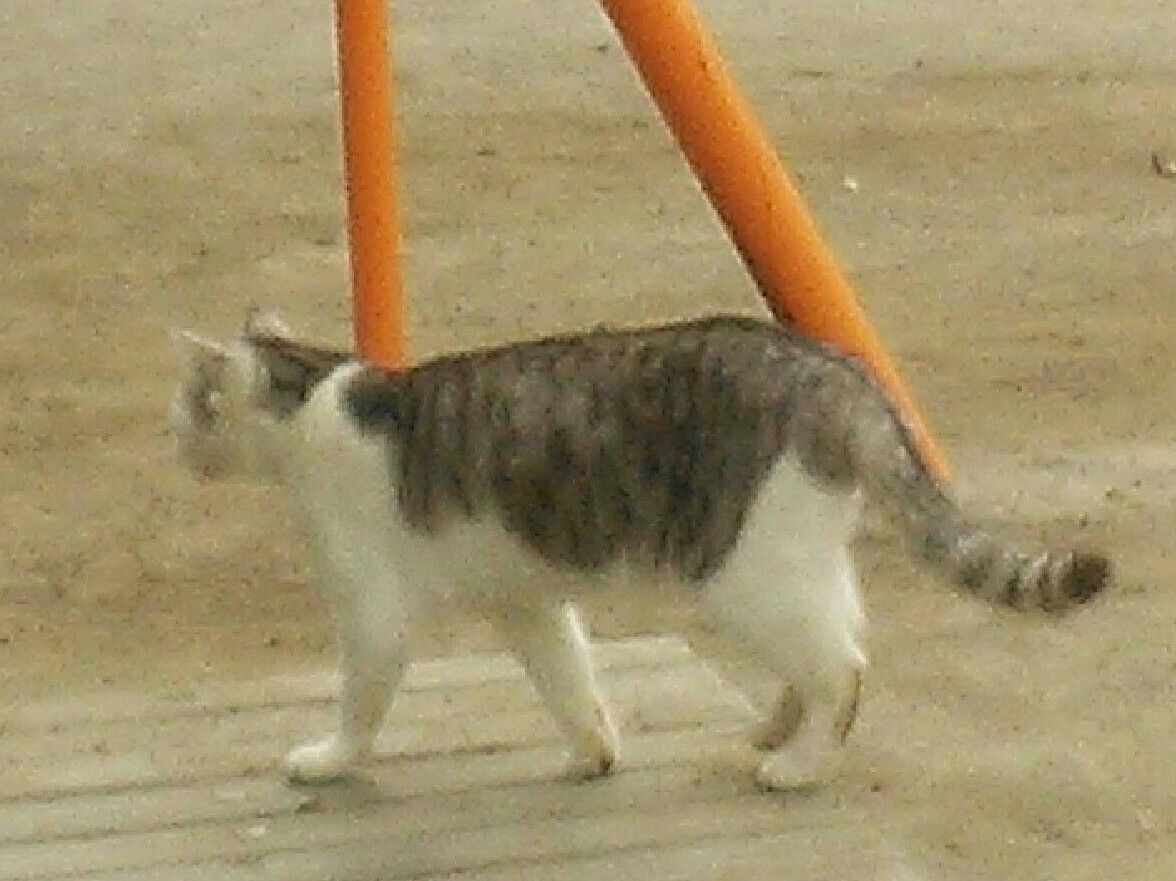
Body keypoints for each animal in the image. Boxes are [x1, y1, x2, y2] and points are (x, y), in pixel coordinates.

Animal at [170, 307, 1109, 791]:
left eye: (188, 403)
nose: (168, 435)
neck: (312, 400)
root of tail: (838, 370)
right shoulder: (530, 603)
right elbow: (570, 683)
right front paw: (593, 753)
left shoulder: (373, 616)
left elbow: (359, 706)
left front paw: (327, 760)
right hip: (795, 556)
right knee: (840, 639)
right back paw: (777, 724)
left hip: (743, 574)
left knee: (844, 666)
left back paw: (799, 764)